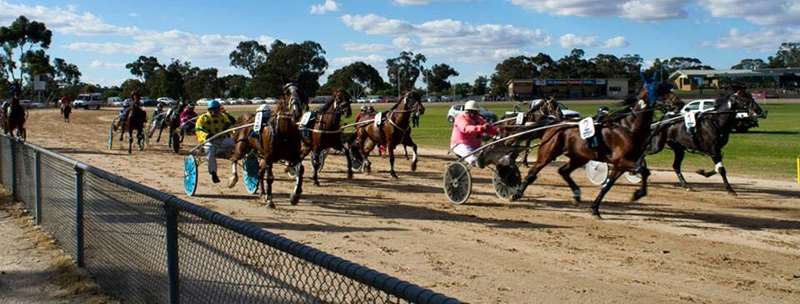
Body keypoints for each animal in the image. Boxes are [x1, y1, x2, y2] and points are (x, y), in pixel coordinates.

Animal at [512, 78, 676, 218]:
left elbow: (609, 185)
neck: (629, 128)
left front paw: (595, 208)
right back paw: (517, 194)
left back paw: (576, 194)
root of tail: (555, 125)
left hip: (579, 157)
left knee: (563, 171)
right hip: (548, 152)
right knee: (533, 172)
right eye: (659, 90)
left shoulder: (622, 164)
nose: (677, 103)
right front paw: (637, 194)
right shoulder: (621, 161)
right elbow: (643, 170)